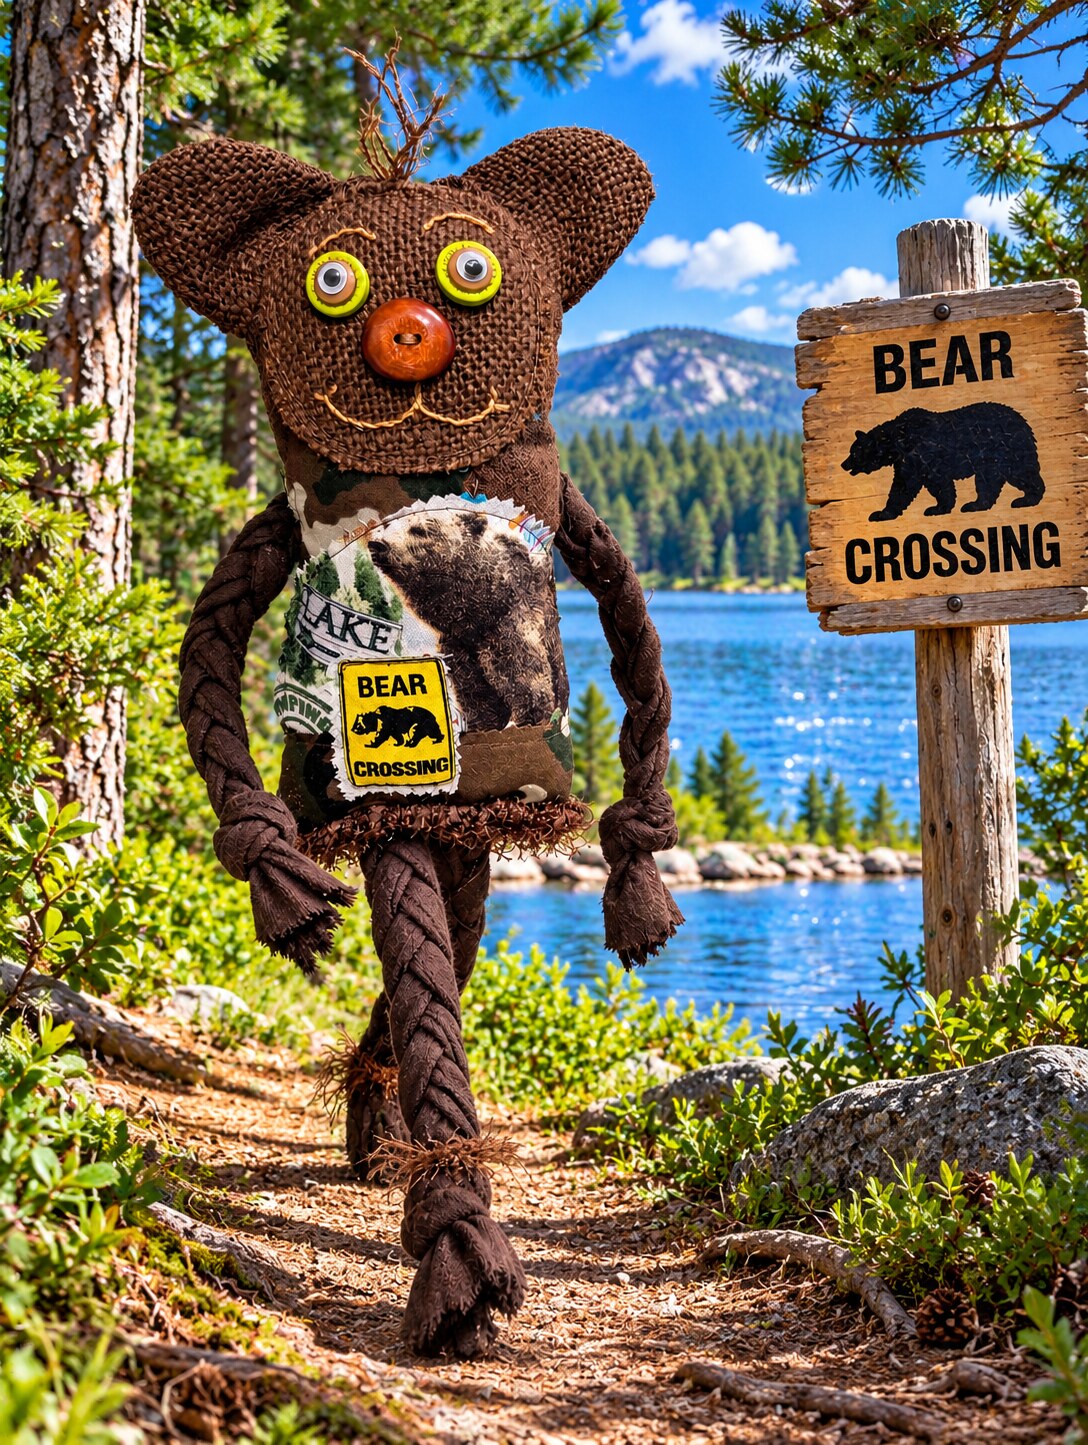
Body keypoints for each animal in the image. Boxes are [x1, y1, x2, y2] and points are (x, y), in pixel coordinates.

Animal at [842, 402, 1046, 523]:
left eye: (853, 452)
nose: (843, 464)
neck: (897, 442)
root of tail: (1023, 422)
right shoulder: (908, 462)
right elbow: (904, 487)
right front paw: (882, 513)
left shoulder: (924, 455)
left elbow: (932, 483)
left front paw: (936, 508)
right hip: (989, 460)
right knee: (988, 481)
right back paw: (975, 504)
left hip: (1008, 449)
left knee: (1020, 472)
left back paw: (1026, 499)